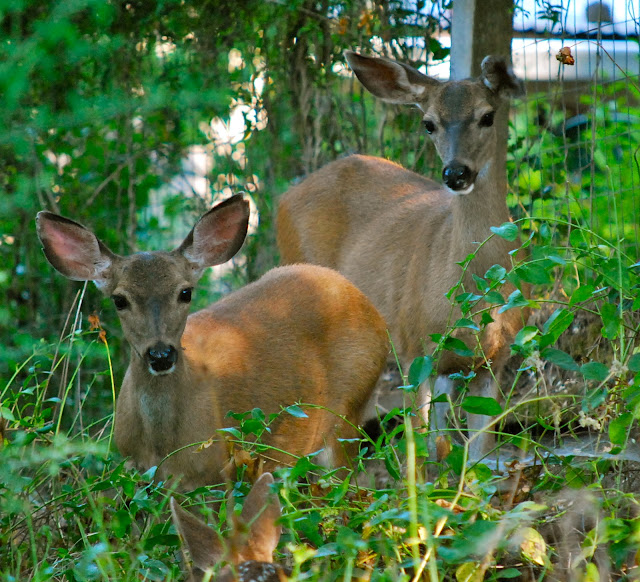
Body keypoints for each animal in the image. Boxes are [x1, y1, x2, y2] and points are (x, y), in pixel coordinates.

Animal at [36, 195, 389, 489]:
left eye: (185, 292)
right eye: (119, 300)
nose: (161, 355)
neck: (162, 446)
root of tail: (366, 304)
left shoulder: (215, 474)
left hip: (350, 409)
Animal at [277, 52, 530, 461]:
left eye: (487, 116)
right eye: (429, 123)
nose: (456, 173)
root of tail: (286, 196)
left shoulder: (495, 356)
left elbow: (475, 454)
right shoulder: (414, 348)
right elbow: (420, 449)